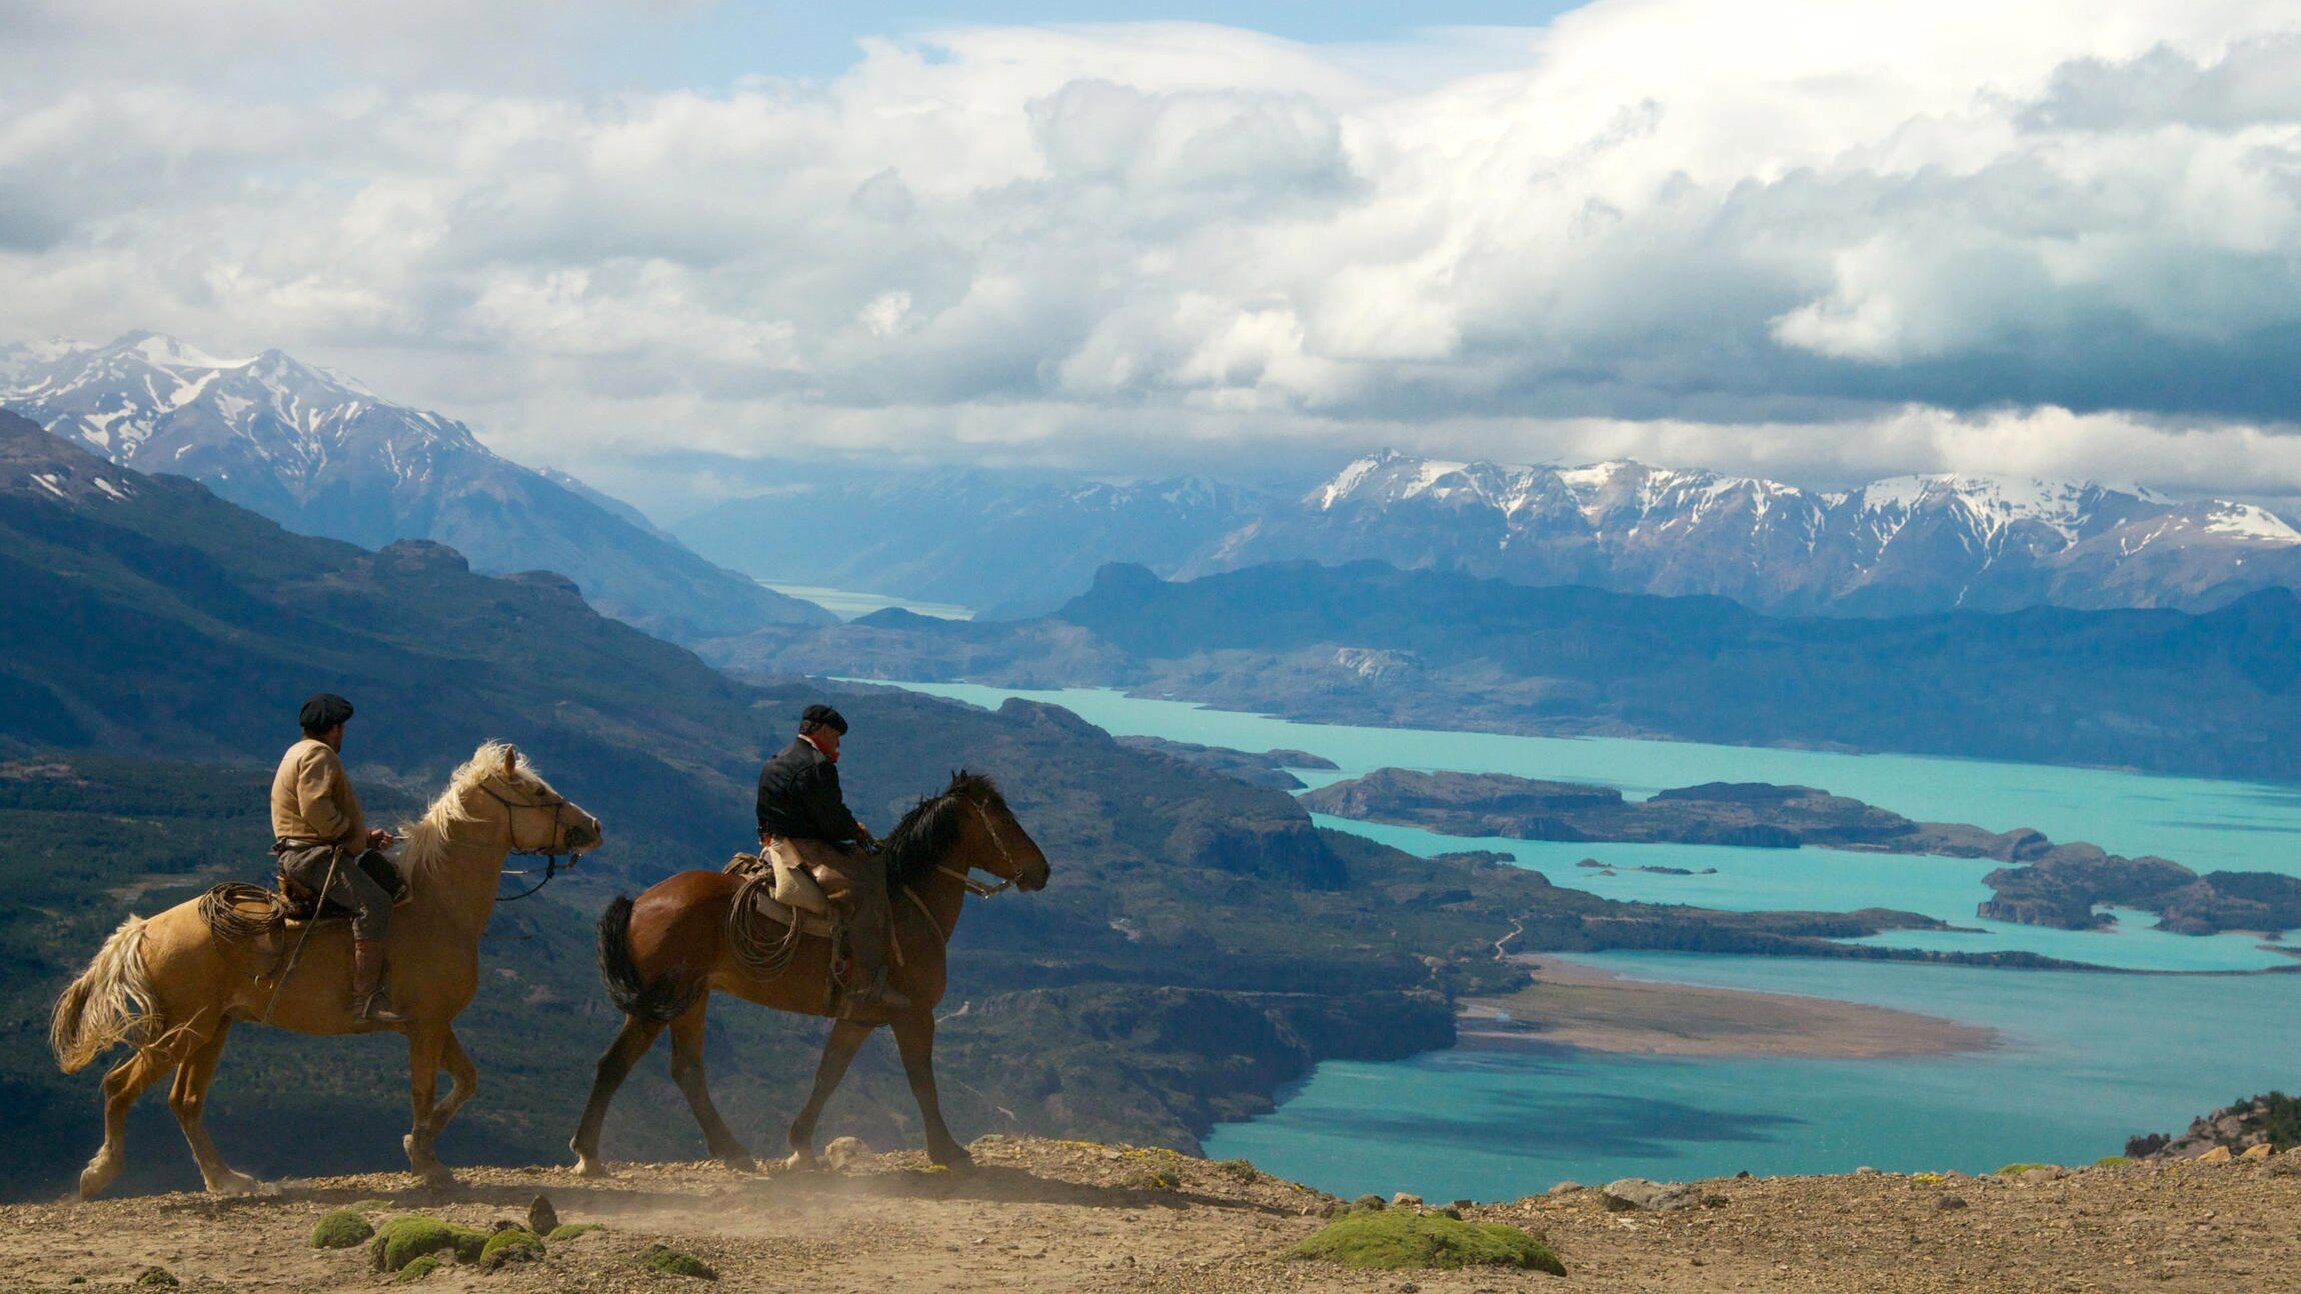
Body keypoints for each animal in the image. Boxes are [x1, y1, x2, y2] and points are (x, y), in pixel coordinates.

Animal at [51, 741, 602, 1197]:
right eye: (536, 791)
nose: (594, 827)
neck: (437, 905)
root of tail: (144, 928)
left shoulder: (433, 1024)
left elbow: (466, 1082)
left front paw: (417, 1148)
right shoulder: (425, 1026)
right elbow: (424, 1090)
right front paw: (426, 1163)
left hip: (210, 1030)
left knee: (184, 1102)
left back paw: (226, 1180)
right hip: (183, 1031)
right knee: (119, 1086)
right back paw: (100, 1173)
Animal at [570, 769, 1049, 1174]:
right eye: (1004, 818)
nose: (1042, 870)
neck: (907, 903)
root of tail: (639, 902)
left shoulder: (859, 1017)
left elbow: (828, 1075)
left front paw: (801, 1146)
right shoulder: (913, 1014)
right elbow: (921, 1081)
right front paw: (947, 1150)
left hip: (690, 999)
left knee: (687, 1070)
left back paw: (731, 1150)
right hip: (658, 1005)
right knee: (615, 1065)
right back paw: (588, 1154)